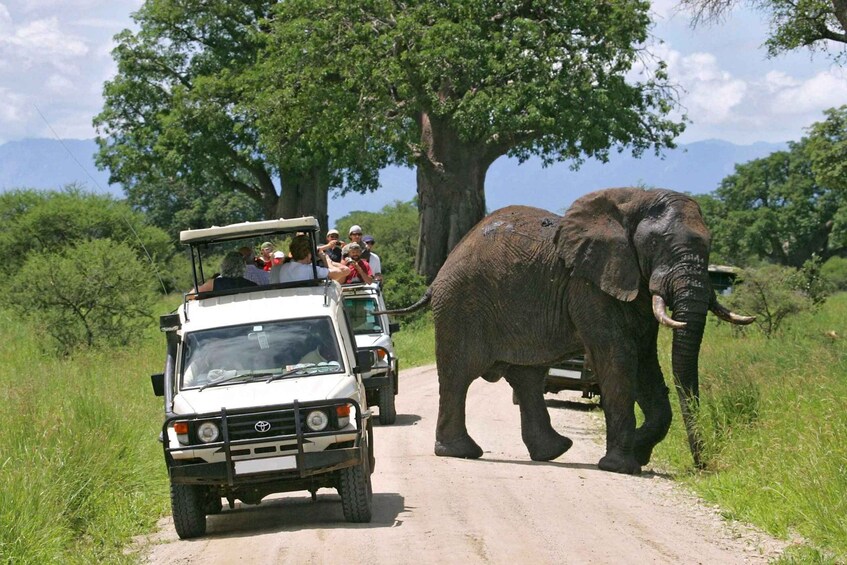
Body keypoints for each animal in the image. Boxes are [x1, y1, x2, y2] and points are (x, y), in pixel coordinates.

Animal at [380, 187, 752, 474]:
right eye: (658, 244)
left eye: (710, 244)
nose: (702, 467)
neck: (634, 201)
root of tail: (439, 274)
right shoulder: (587, 285)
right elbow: (618, 358)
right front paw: (621, 466)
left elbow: (645, 362)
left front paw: (639, 452)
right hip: (460, 306)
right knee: (459, 374)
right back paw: (462, 452)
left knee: (527, 377)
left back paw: (553, 452)